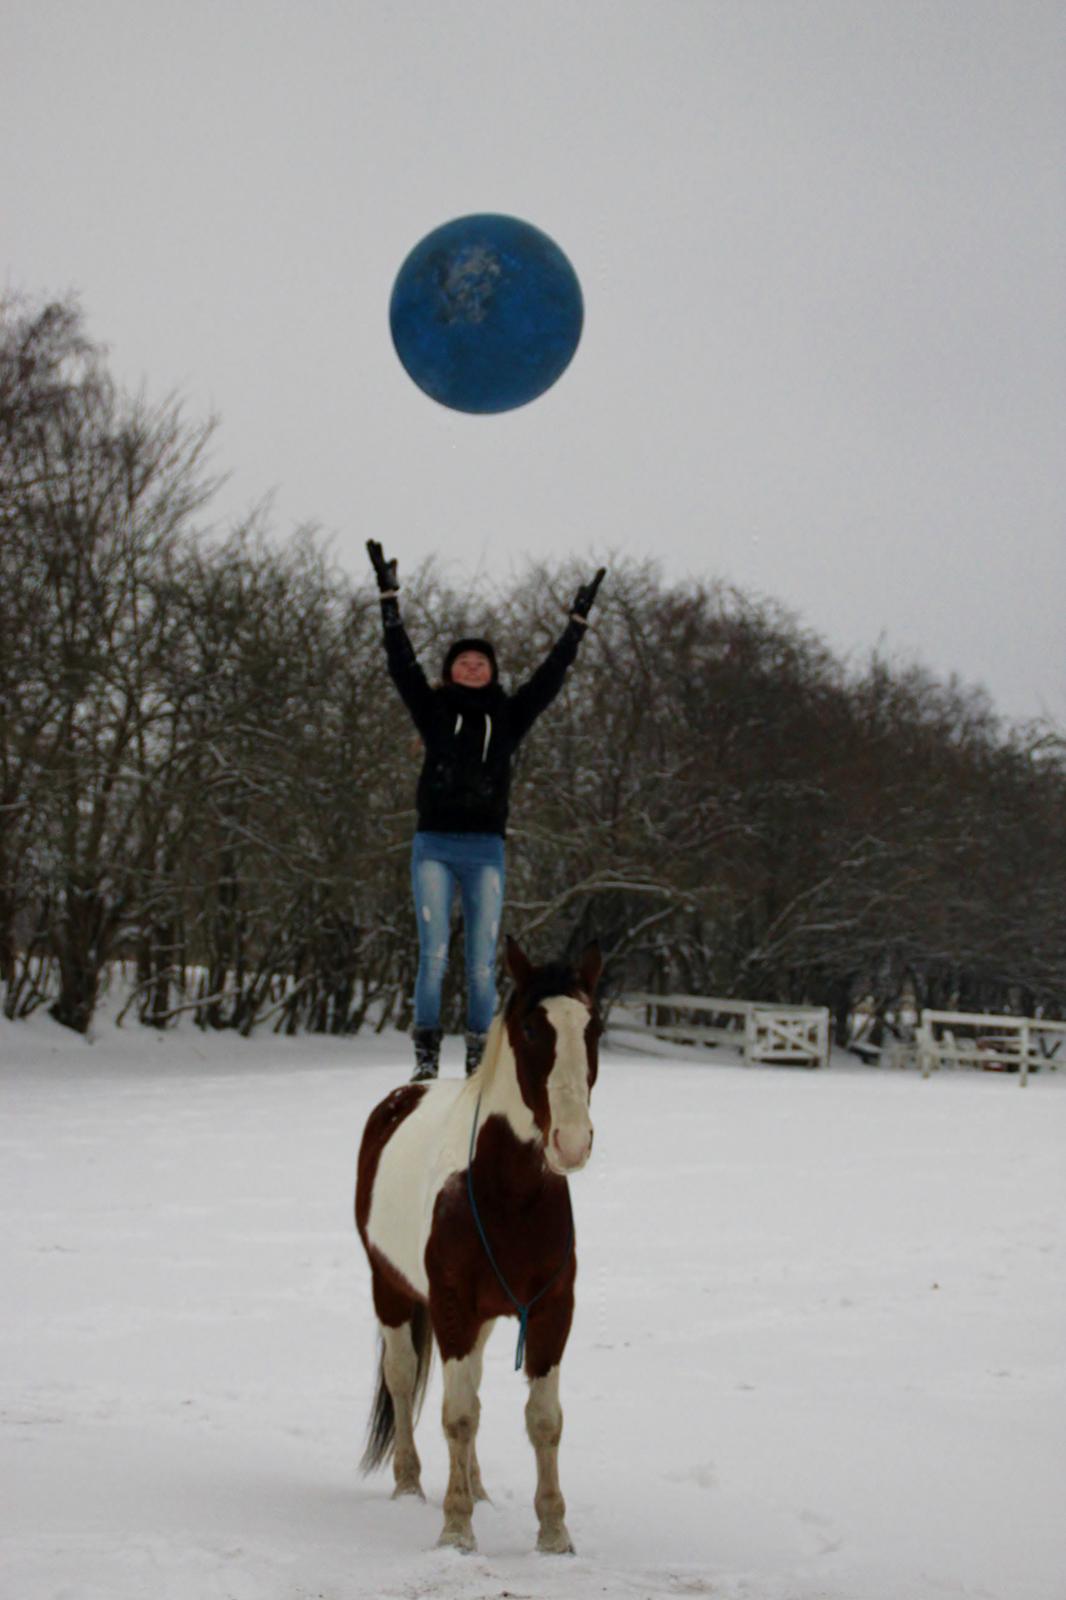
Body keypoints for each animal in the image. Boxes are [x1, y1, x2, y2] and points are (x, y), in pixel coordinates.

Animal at [355, 934, 598, 1548]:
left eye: (593, 1026)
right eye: (531, 1028)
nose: (571, 1142)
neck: (507, 1195)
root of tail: (406, 1093)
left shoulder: (551, 1310)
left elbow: (543, 1420)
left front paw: (554, 1535)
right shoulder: (452, 1306)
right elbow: (457, 1414)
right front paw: (456, 1531)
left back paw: (480, 1487)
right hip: (390, 1289)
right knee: (402, 1378)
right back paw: (410, 1485)